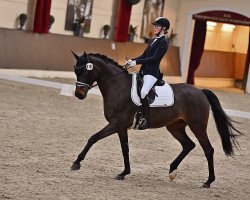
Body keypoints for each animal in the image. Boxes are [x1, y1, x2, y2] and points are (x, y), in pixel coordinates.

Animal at [70, 51, 242, 188]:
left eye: (85, 70)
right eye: (75, 70)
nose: (79, 94)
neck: (117, 86)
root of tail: (200, 92)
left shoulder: (116, 123)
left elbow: (93, 138)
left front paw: (76, 163)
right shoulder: (121, 126)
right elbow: (125, 148)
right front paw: (124, 172)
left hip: (197, 126)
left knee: (208, 149)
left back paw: (208, 181)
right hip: (175, 127)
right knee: (188, 145)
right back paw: (172, 170)